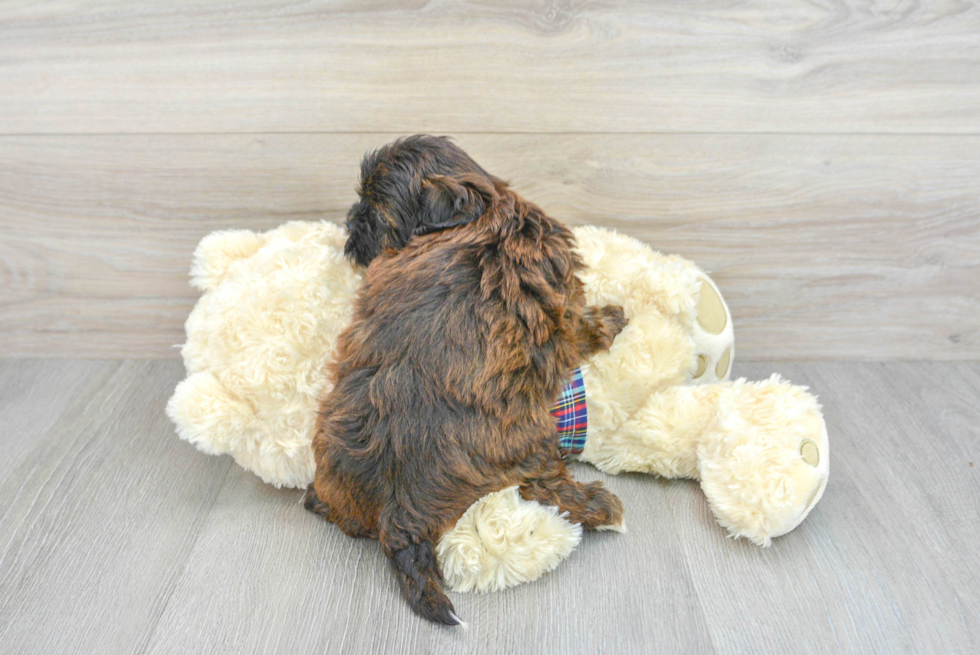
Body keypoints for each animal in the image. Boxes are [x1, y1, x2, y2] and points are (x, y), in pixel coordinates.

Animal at [308, 137, 628, 624]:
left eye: (374, 213)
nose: (349, 224)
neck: (484, 211)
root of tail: (400, 515)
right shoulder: (563, 306)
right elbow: (581, 327)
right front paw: (610, 319)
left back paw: (317, 499)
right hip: (532, 445)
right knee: (545, 486)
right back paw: (600, 506)